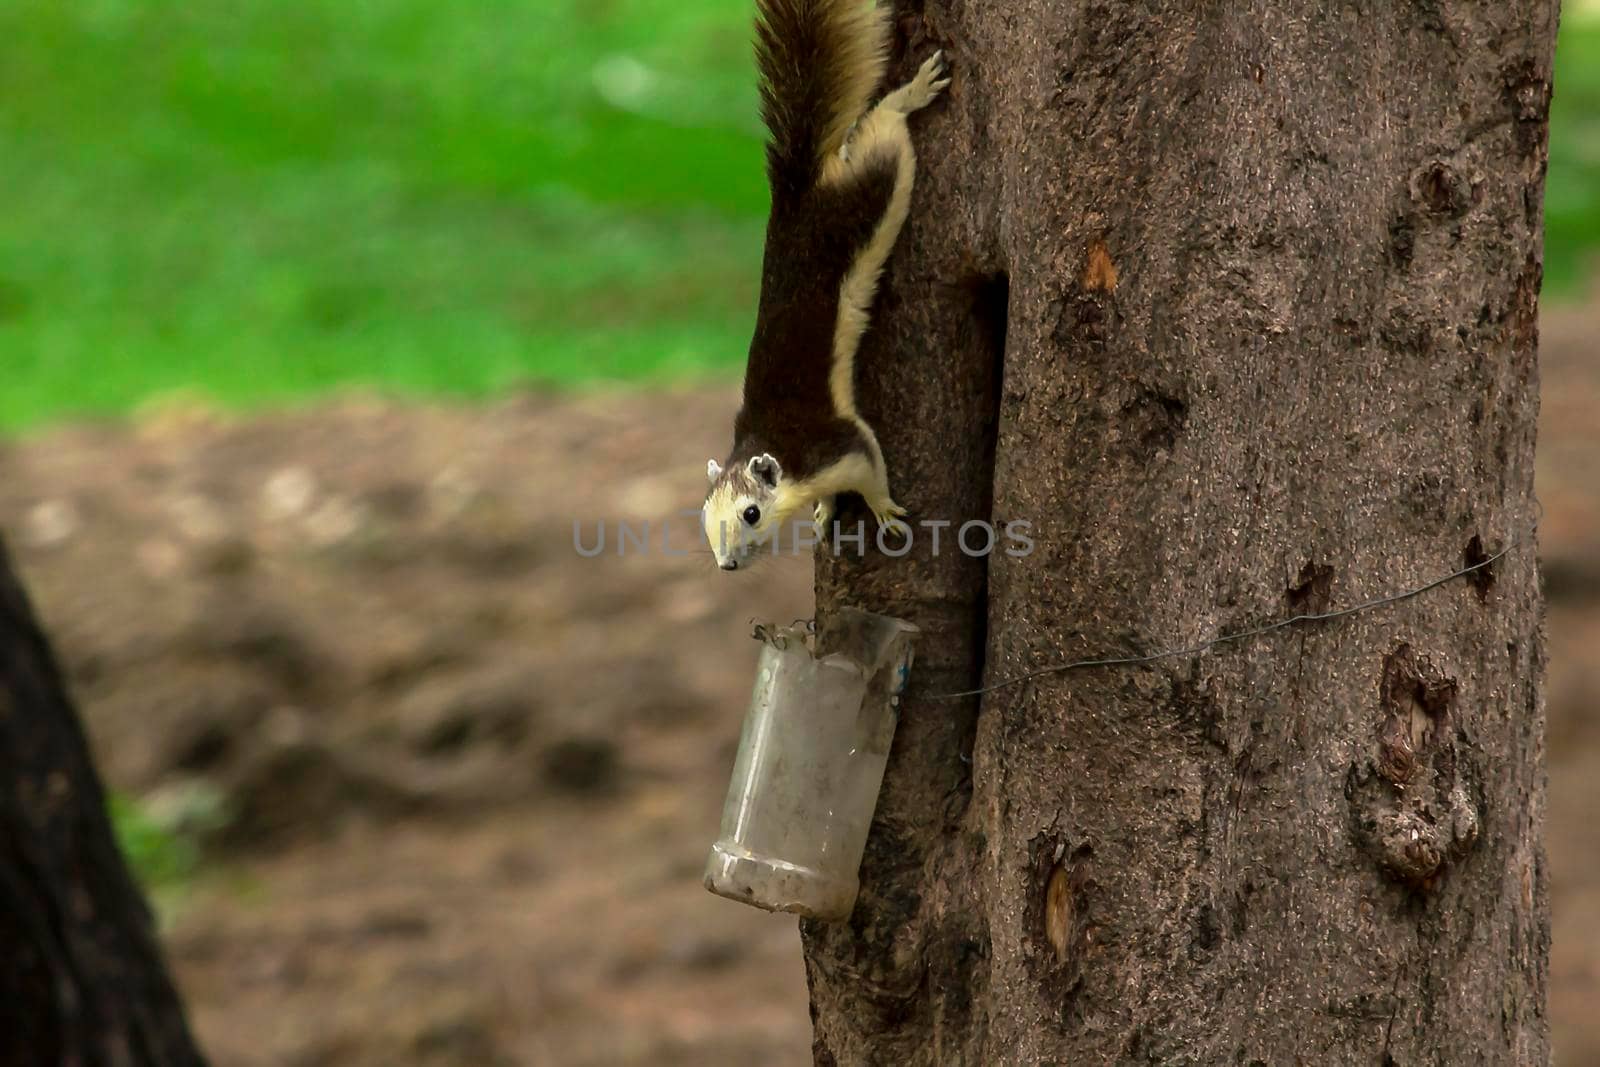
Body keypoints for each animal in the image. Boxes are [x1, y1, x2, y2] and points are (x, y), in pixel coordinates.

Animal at [704, 0, 947, 572]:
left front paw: (883, 511)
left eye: (751, 513)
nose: (727, 565)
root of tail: (794, 196)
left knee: (885, 130)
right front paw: (824, 511)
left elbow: (871, 466)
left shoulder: (837, 444)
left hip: (872, 189)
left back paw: (913, 92)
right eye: (703, 520)